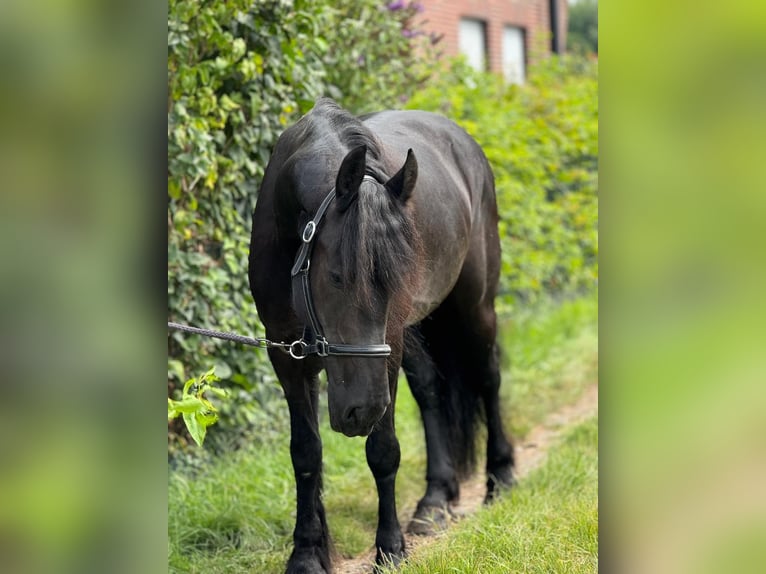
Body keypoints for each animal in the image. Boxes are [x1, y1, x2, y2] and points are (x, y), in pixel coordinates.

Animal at [252, 101, 516, 572]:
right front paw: (307, 553)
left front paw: (390, 548)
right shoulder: (285, 354)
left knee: (488, 378)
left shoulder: (386, 346)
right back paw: (434, 500)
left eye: (395, 283)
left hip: (474, 307)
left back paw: (500, 477)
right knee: (430, 392)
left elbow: (384, 450)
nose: (360, 412)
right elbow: (306, 453)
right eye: (338, 277)